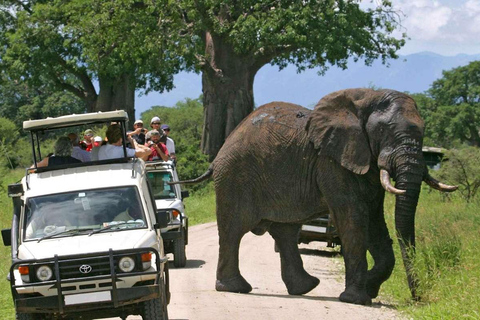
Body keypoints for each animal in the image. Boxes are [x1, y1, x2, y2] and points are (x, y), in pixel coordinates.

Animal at [173, 87, 458, 304]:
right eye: (383, 131)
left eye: (423, 131)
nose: (417, 298)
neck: (365, 100)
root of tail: (220, 152)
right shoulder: (331, 162)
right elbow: (354, 218)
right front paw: (356, 299)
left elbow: (375, 221)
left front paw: (369, 288)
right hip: (235, 177)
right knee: (234, 229)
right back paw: (236, 288)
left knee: (285, 231)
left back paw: (305, 288)